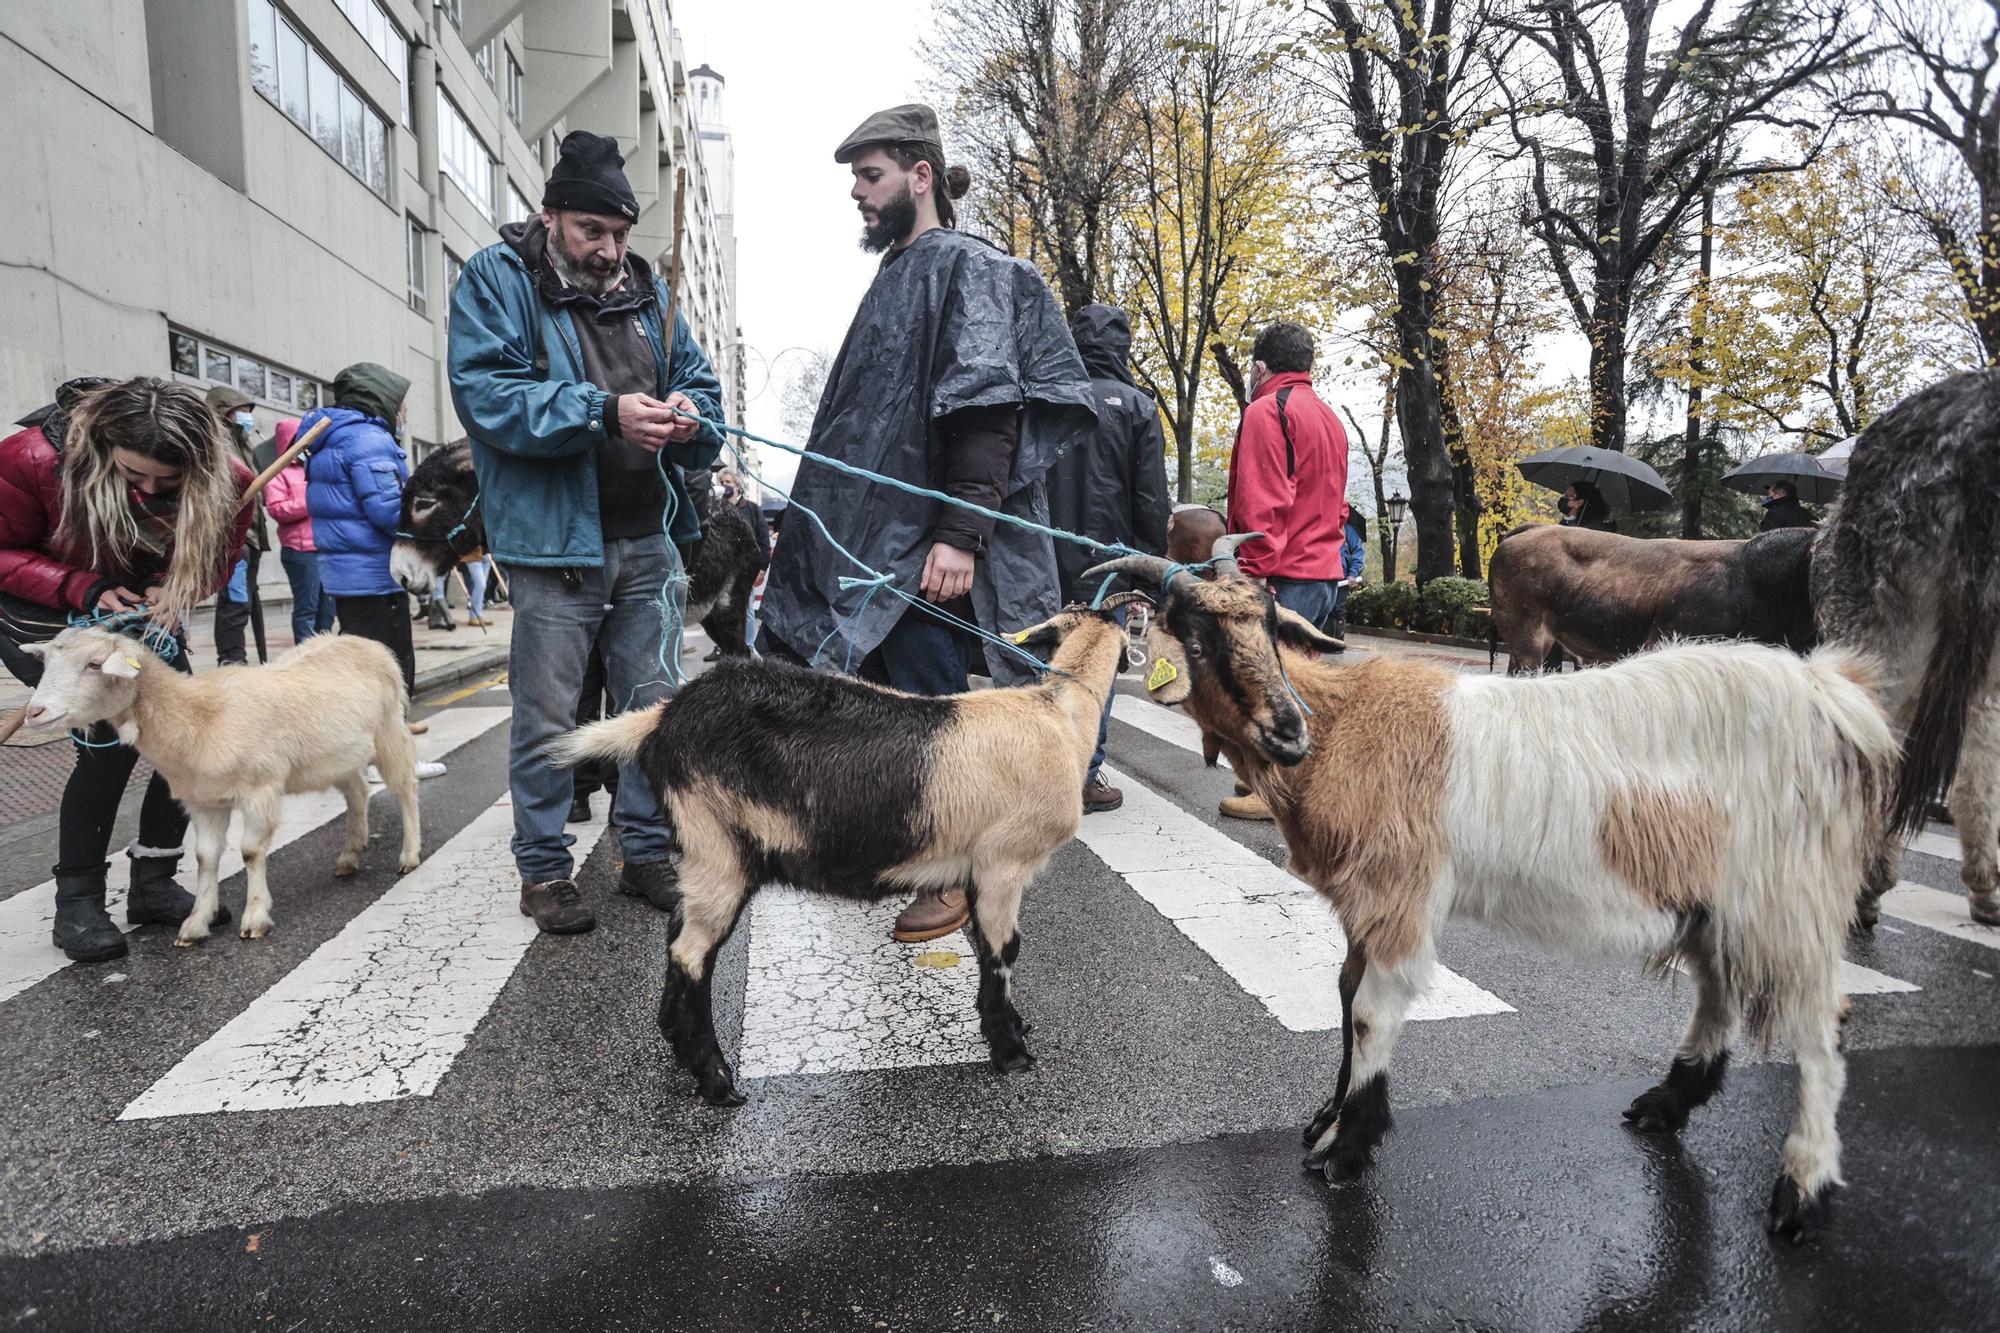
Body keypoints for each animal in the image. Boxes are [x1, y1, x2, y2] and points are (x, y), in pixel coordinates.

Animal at [23, 628, 422, 940]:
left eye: (94, 664)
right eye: (46, 664)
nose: (33, 713)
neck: (199, 716)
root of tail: (364, 641)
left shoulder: (260, 789)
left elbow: (250, 852)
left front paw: (255, 917)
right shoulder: (204, 801)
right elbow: (205, 858)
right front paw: (196, 923)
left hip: (389, 730)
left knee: (406, 789)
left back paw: (409, 855)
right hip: (339, 756)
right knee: (358, 793)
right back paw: (350, 855)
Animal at [1104, 536, 1896, 1240]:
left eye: (1271, 628)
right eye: (1196, 636)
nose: (1288, 733)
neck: (1346, 722)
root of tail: (1831, 695)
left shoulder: (1401, 891)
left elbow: (1370, 1014)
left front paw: (1349, 1146)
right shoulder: (1365, 902)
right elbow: (1343, 994)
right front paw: (1328, 1121)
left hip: (1786, 890)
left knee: (1818, 1029)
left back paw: (1801, 1191)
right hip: (1715, 897)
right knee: (1720, 996)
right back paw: (1665, 1104)